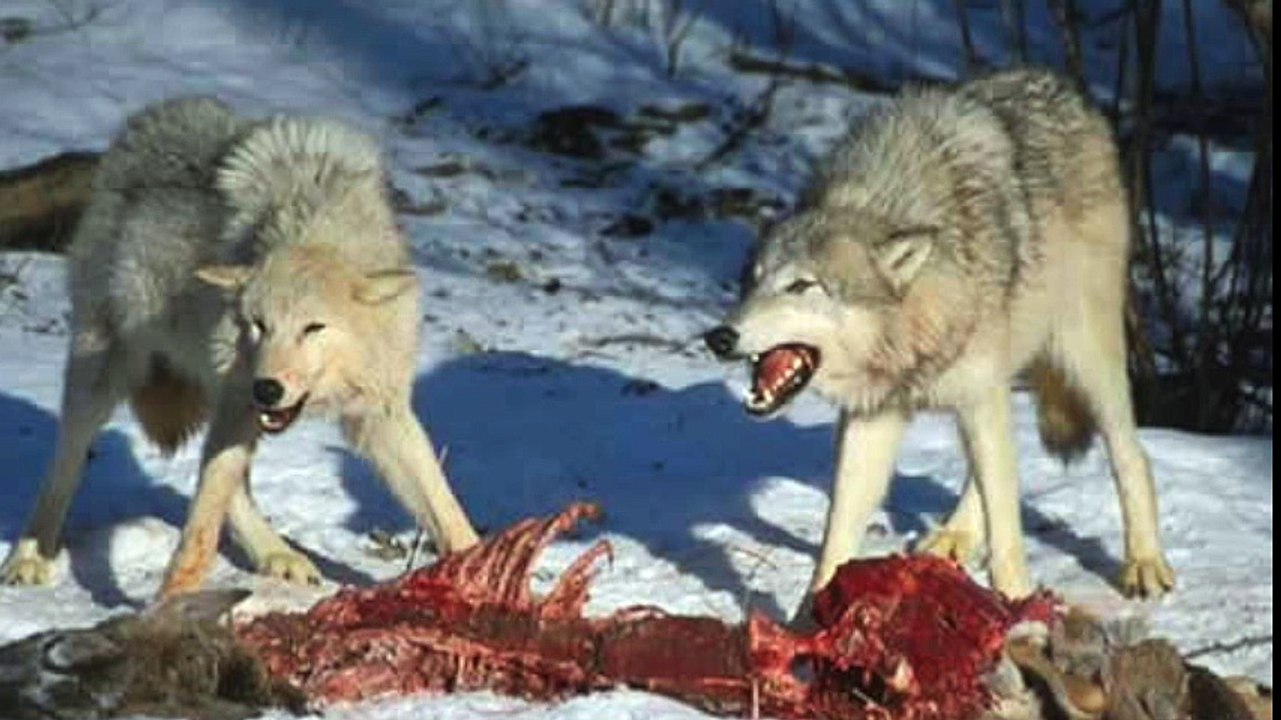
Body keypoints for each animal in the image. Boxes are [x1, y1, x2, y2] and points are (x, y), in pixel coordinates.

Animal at [1, 98, 479, 597]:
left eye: (313, 328)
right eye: (258, 325)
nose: (266, 389)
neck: (310, 223)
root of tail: (146, 122)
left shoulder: (379, 414)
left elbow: (445, 507)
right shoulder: (240, 399)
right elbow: (201, 522)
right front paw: (170, 599)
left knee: (229, 482)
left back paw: (277, 555)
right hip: (106, 375)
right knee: (66, 466)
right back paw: (29, 557)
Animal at [705, 68, 1175, 603]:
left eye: (801, 286)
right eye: (753, 281)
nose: (719, 337)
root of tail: (1062, 86)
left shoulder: (978, 394)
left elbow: (1007, 522)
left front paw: (1017, 604)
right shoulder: (873, 417)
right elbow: (838, 533)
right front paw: (814, 613)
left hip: (1083, 359)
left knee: (1131, 455)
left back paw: (1144, 562)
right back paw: (955, 535)